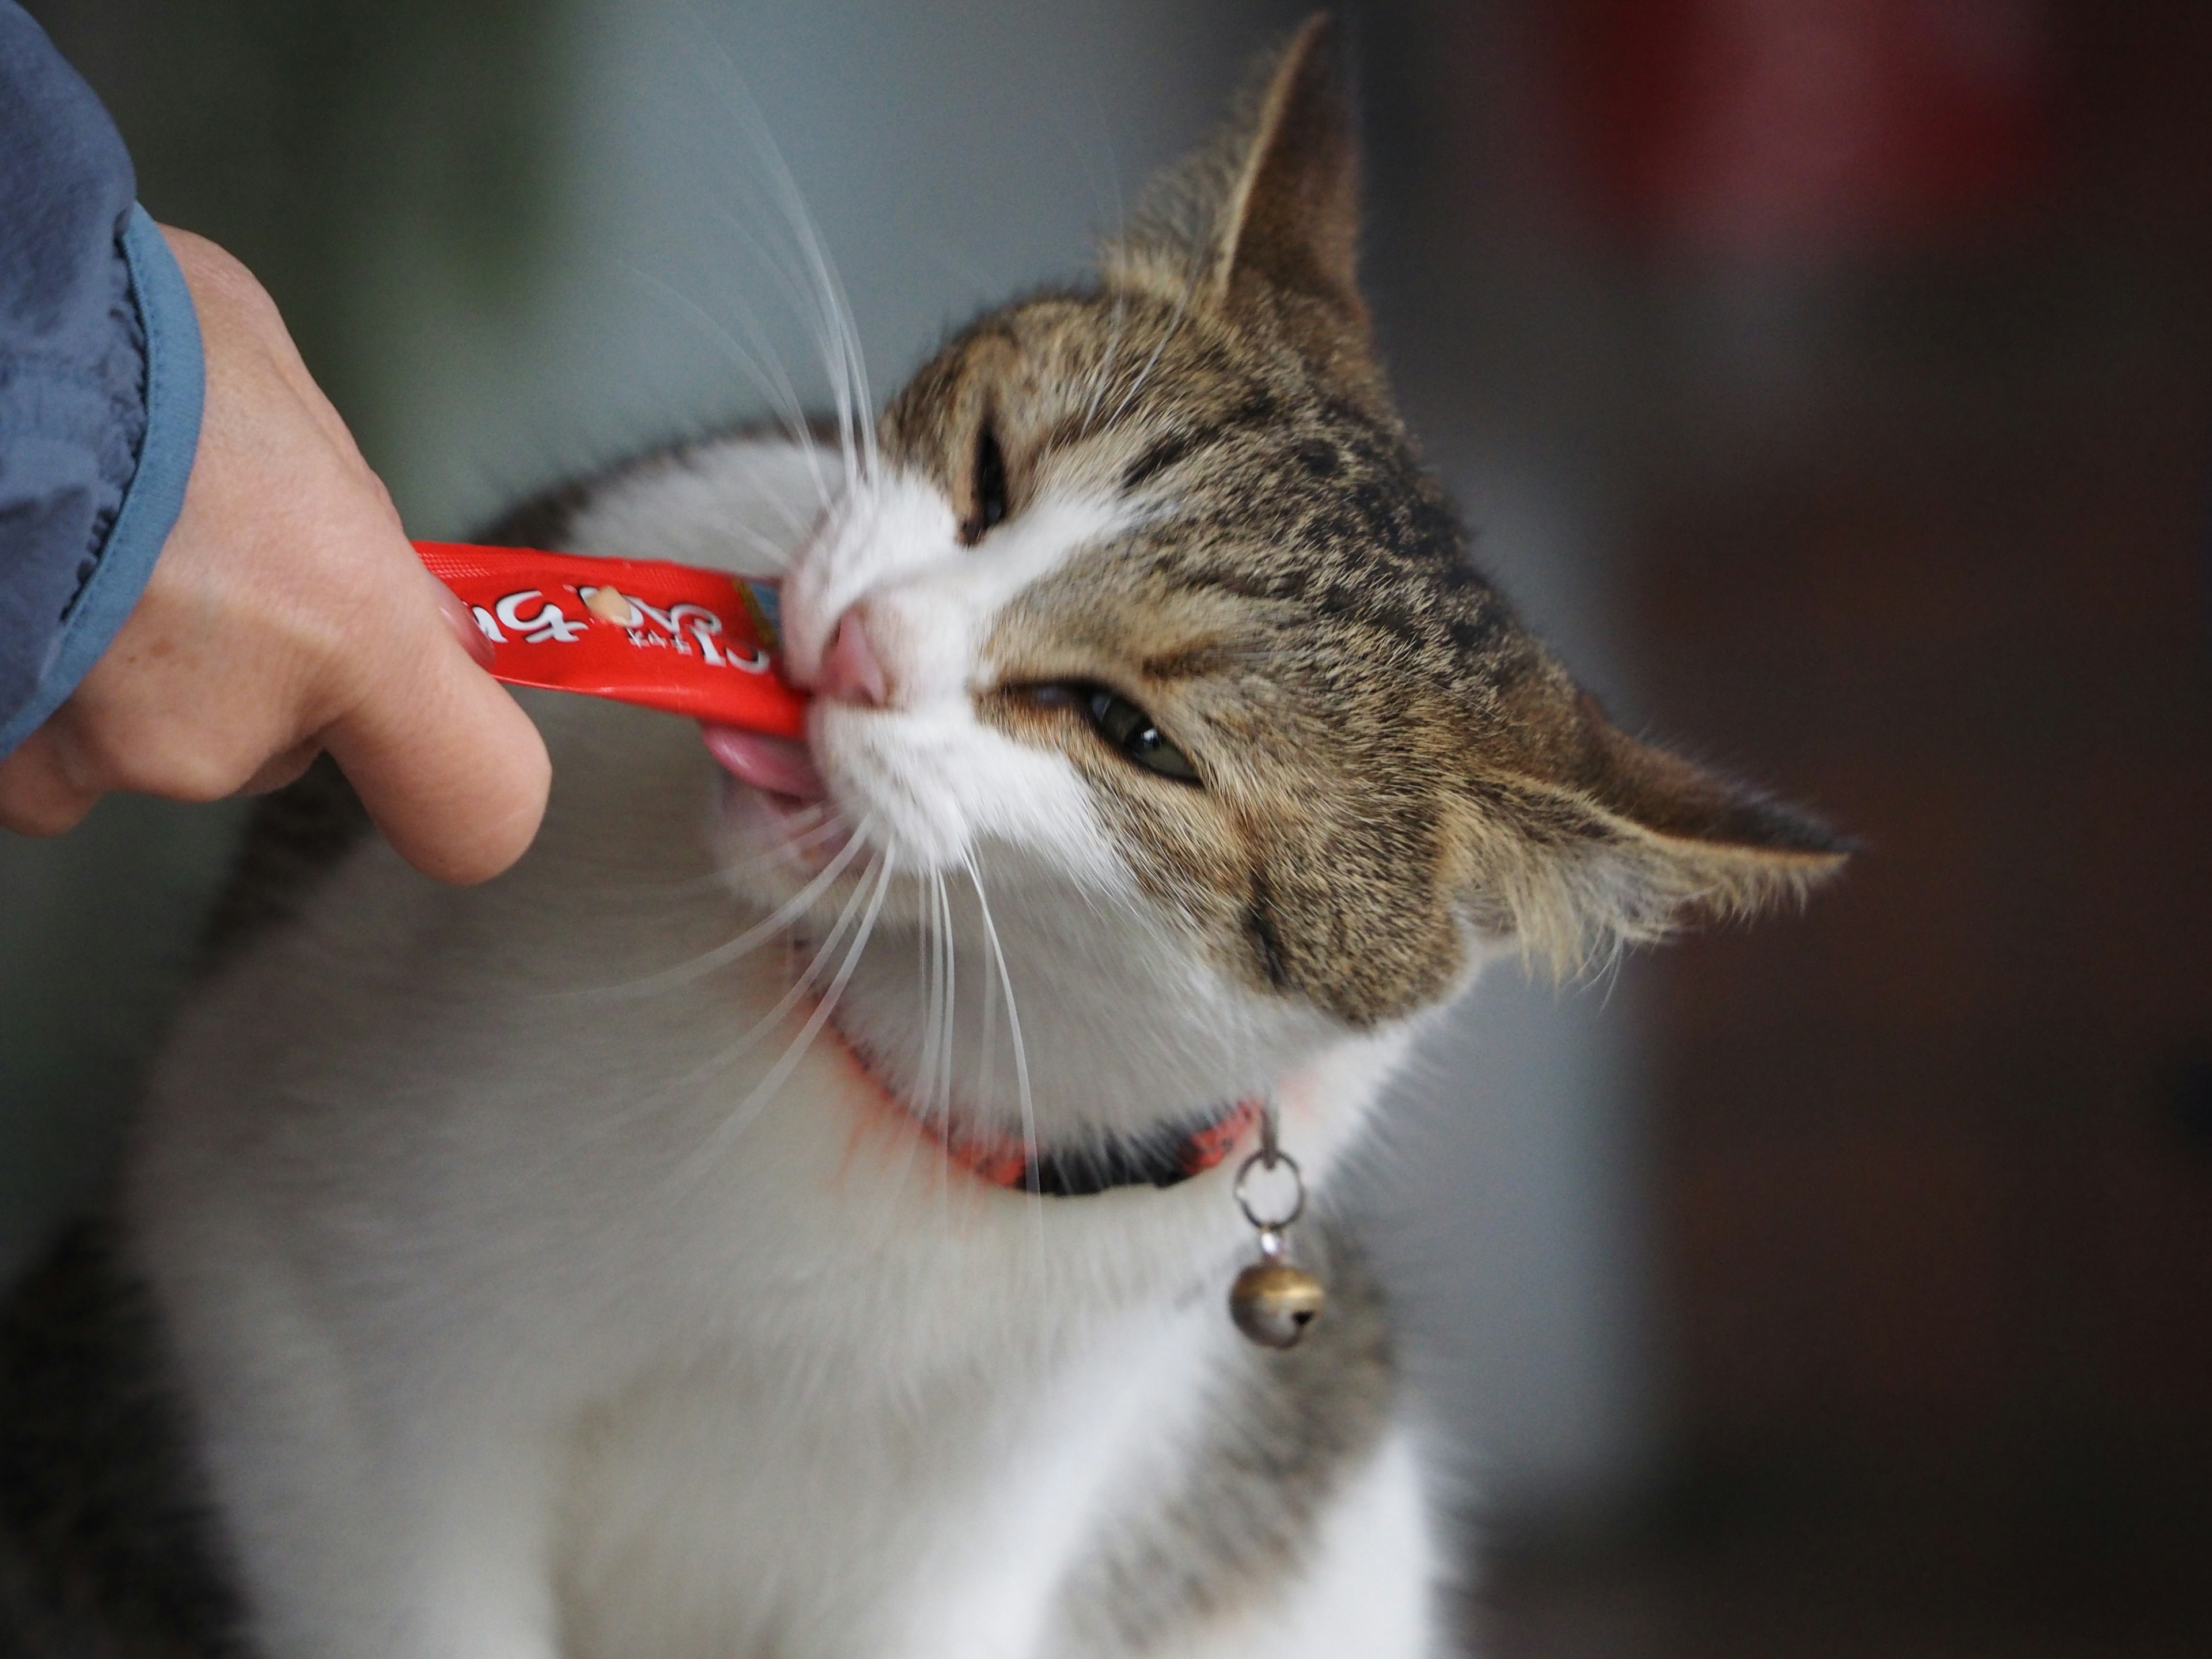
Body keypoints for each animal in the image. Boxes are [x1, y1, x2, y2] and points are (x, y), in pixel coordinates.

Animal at [0, 16, 1849, 1659]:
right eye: (992, 468)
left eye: (1131, 733)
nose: (859, 645)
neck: (890, 1086)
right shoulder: (312, 1347)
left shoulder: (980, 1527)